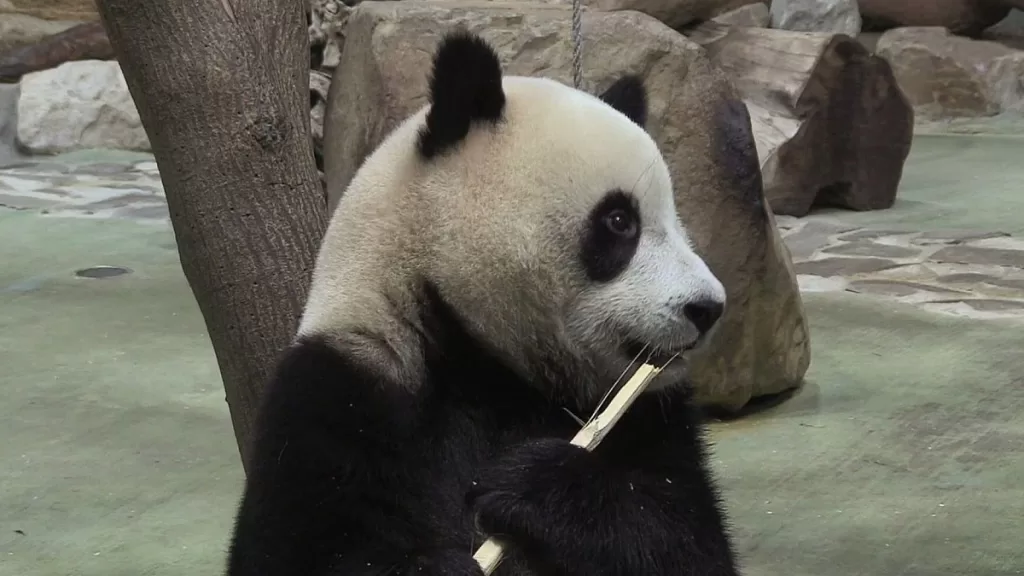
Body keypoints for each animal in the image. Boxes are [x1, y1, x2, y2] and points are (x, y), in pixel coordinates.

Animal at [226, 30, 740, 576]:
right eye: (620, 221)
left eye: (675, 219)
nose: (707, 308)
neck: (485, 364)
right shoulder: (339, 391)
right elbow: (298, 549)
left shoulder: (652, 414)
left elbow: (688, 541)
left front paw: (536, 484)